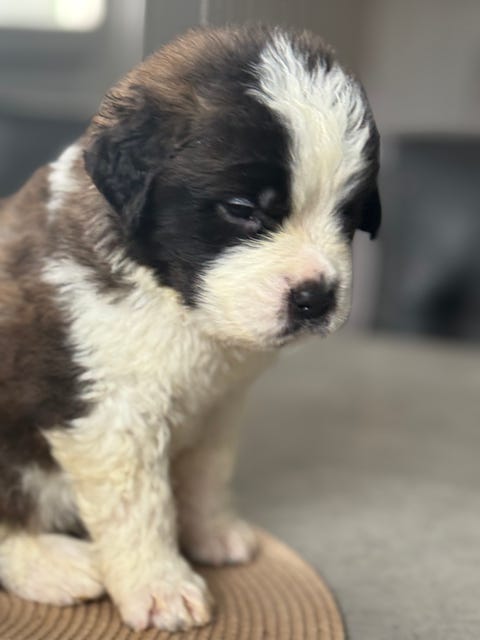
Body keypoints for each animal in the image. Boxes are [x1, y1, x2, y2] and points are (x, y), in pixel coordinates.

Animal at [0, 25, 380, 631]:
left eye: (349, 213)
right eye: (243, 209)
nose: (316, 297)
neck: (173, 299)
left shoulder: (219, 403)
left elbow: (206, 473)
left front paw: (212, 532)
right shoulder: (113, 415)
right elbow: (140, 505)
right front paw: (160, 585)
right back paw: (53, 564)